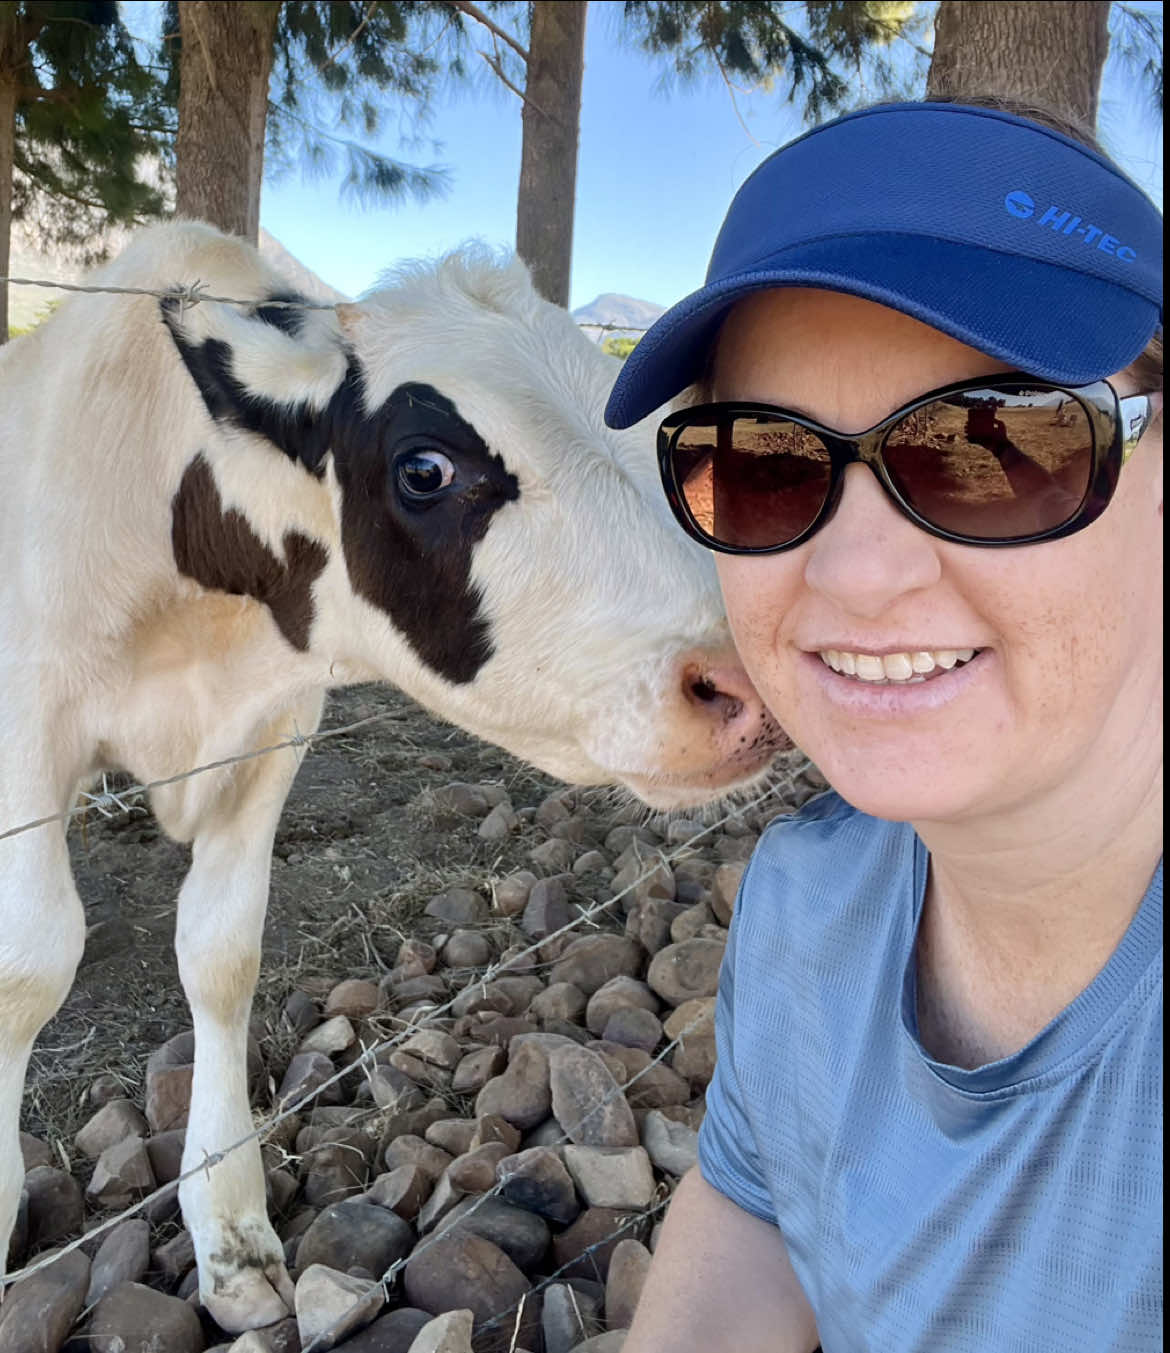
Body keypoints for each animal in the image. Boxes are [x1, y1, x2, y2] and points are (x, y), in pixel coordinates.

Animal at [2, 224, 784, 1331]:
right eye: (425, 466)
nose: (743, 679)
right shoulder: (27, 721)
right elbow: (27, 965)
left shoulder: (273, 729)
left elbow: (221, 949)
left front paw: (229, 1229)